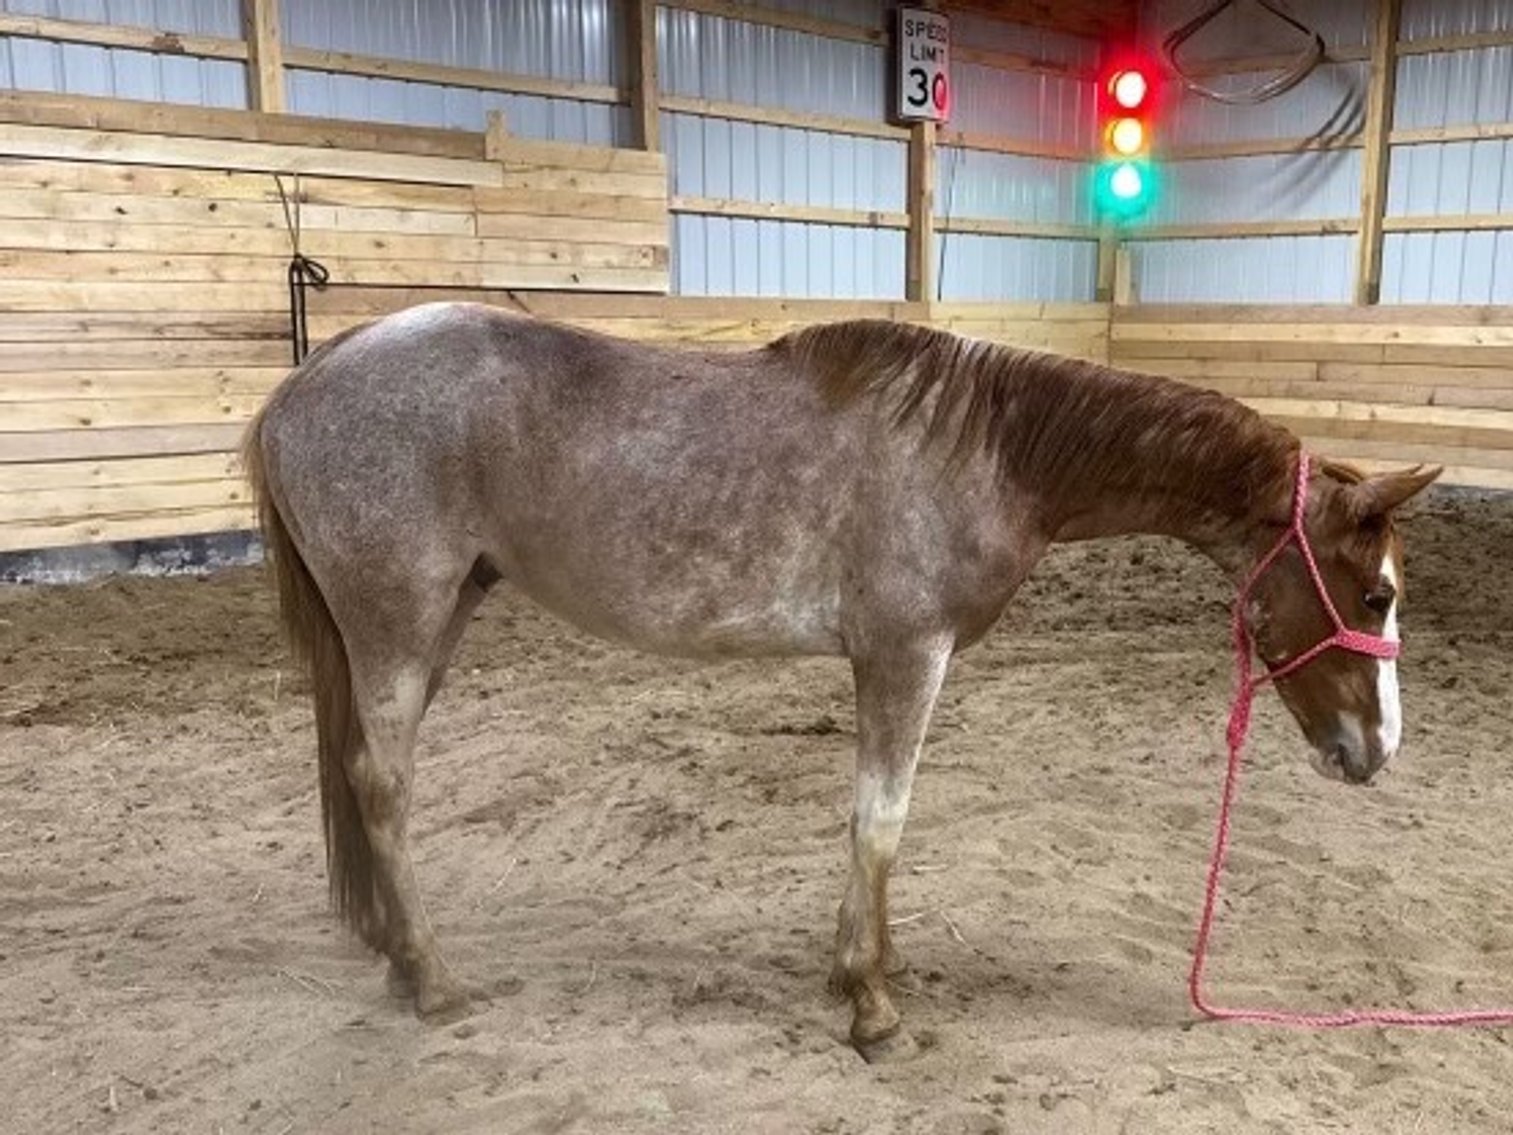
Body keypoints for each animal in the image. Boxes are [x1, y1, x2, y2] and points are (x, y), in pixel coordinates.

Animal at [242, 304, 1439, 1061]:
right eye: (1375, 592)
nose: (1376, 750)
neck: (987, 451)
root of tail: (302, 384)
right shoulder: (904, 654)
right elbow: (880, 819)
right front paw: (870, 1005)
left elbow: (876, 827)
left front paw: (869, 965)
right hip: (398, 627)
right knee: (383, 786)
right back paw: (434, 978)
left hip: (434, 619)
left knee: (360, 776)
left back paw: (397, 957)